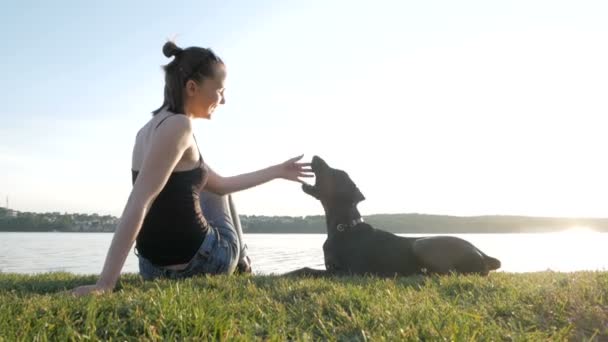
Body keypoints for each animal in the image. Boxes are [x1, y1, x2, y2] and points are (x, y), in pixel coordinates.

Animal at [288, 156, 502, 276]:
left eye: (335, 172)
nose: (316, 156)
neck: (344, 227)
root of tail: (484, 254)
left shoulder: (349, 272)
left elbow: (305, 270)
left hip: (422, 244)